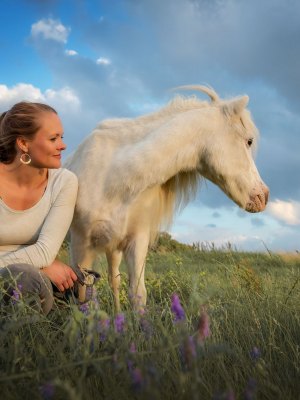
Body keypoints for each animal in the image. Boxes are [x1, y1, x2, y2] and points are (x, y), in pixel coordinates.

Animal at [65, 86, 270, 310]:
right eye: (249, 141)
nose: (264, 196)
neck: (111, 176)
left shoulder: (136, 242)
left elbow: (137, 294)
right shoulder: (80, 246)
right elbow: (84, 298)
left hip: (114, 248)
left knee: (114, 281)